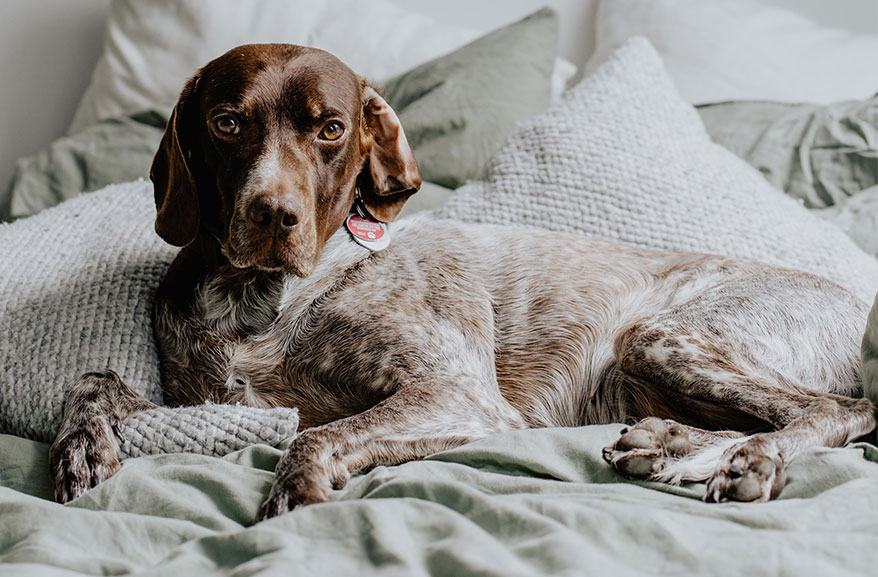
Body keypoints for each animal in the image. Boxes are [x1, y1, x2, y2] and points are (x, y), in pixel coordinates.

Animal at [49, 45, 878, 520]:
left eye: (330, 129)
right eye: (226, 122)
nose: (273, 215)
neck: (261, 300)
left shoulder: (460, 394)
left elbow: (318, 431)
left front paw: (297, 488)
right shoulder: (204, 403)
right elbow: (94, 379)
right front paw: (80, 447)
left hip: (663, 334)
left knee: (837, 410)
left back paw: (741, 463)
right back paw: (670, 445)